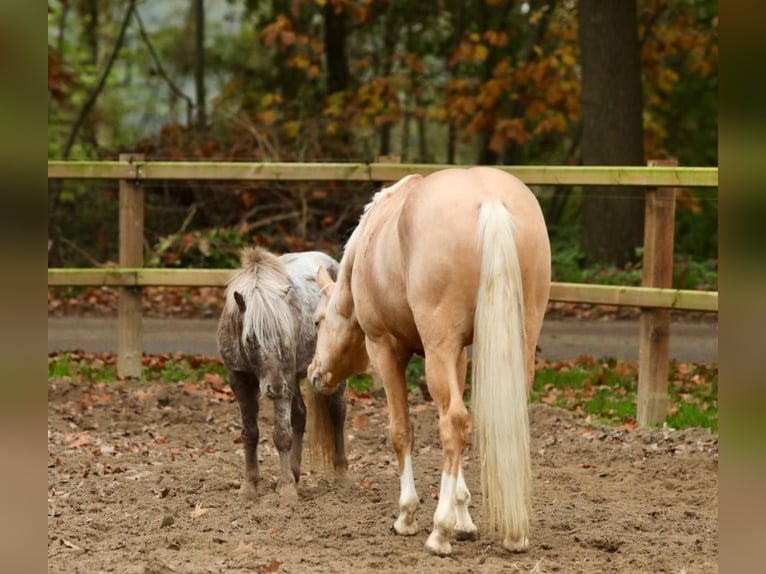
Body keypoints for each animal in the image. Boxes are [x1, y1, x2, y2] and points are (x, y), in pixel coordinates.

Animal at [219, 250, 352, 502]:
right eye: (250, 338)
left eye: (282, 334)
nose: (274, 388)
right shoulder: (239, 380)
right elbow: (250, 433)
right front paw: (249, 486)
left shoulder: (284, 379)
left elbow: (281, 434)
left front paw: (287, 490)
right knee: (300, 415)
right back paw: (296, 472)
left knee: (337, 413)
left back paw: (341, 474)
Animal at [308, 168, 552, 560]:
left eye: (317, 321)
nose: (314, 374)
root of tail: (490, 201)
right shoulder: (460, 354)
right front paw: (465, 518)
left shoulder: (385, 348)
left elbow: (401, 430)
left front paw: (408, 516)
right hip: (519, 341)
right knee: (484, 420)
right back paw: (513, 535)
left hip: (435, 350)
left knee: (451, 423)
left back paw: (439, 533)